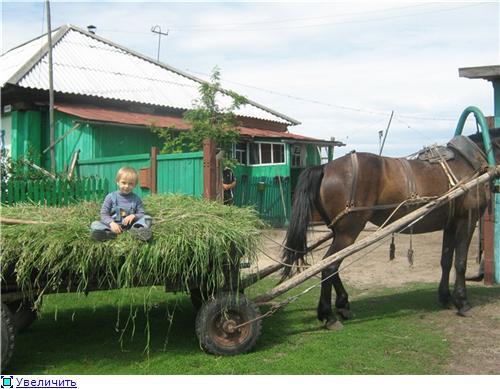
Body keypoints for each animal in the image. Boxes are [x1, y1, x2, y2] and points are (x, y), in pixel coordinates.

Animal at [282, 130, 500, 328]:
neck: (468, 164)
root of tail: (325, 167)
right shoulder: (466, 221)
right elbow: (460, 262)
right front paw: (462, 302)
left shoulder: (450, 224)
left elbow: (446, 261)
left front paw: (445, 297)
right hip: (349, 232)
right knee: (329, 266)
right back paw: (329, 315)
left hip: (339, 232)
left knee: (330, 264)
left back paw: (343, 305)